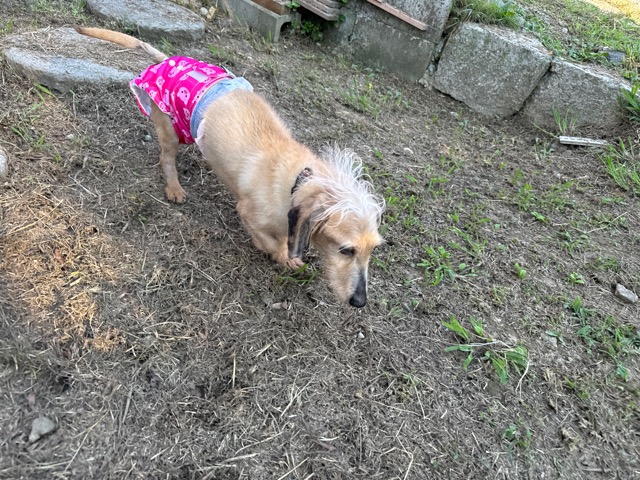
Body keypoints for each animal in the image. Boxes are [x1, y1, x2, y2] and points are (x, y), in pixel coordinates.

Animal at [75, 27, 384, 307]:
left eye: (373, 250)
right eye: (346, 249)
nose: (360, 302)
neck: (297, 182)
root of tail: (166, 60)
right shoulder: (248, 213)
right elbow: (271, 243)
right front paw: (282, 256)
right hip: (170, 129)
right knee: (166, 158)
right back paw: (174, 187)